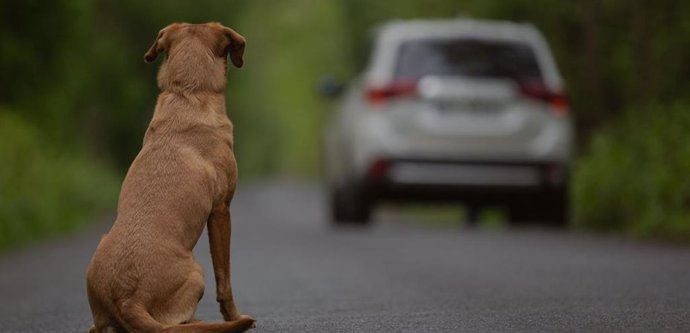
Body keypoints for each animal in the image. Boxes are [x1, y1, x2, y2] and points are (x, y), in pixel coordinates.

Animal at [86, 22, 253, 330]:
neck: (188, 92)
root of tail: (127, 300)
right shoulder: (221, 210)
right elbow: (224, 279)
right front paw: (234, 316)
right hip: (197, 271)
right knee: (179, 322)